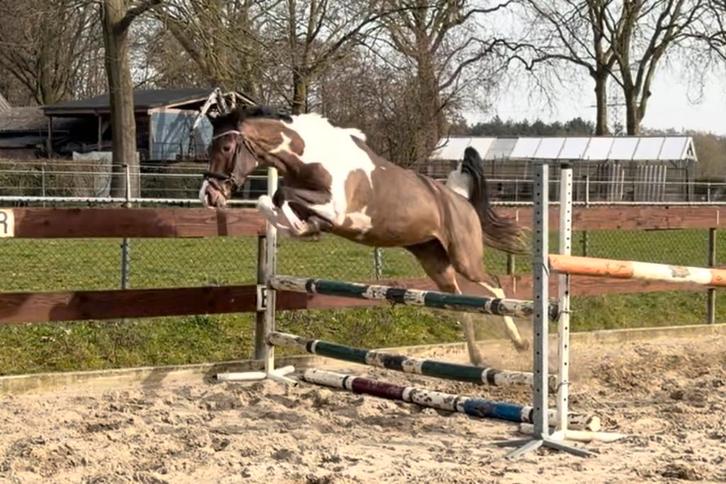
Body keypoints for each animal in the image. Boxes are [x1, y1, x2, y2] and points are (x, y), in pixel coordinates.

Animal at [200, 106, 530, 364]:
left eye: (226, 149)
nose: (209, 195)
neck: (312, 156)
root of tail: (460, 199)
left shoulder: (335, 208)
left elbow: (281, 196)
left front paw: (306, 228)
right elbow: (272, 203)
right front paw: (304, 228)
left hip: (464, 258)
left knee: (495, 285)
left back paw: (519, 343)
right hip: (434, 260)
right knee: (457, 301)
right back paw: (477, 357)